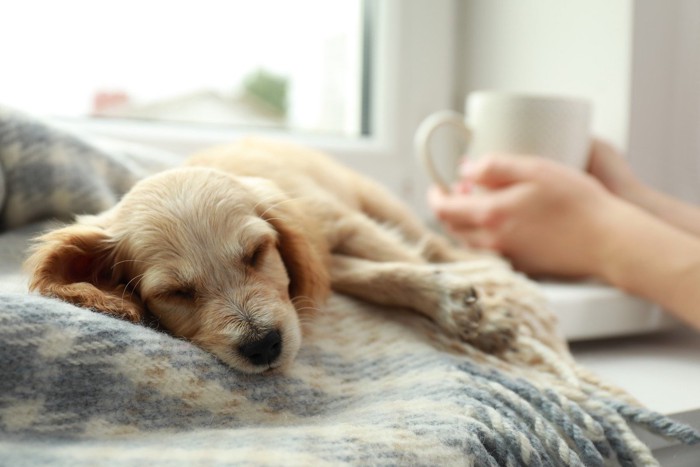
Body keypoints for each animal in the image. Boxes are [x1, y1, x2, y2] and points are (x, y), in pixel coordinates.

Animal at [24, 138, 516, 372]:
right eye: (175, 293)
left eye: (257, 253)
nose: (263, 346)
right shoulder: (319, 257)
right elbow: (380, 276)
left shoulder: (340, 225)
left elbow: (404, 259)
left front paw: (474, 315)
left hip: (377, 203)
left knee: (429, 241)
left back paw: (482, 262)